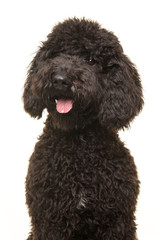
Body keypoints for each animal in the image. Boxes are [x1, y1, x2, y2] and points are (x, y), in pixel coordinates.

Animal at [22, 17, 144, 239]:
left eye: (91, 60)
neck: (78, 148)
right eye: (55, 55)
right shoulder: (49, 220)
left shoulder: (117, 221)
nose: (60, 79)